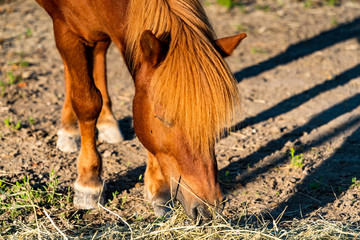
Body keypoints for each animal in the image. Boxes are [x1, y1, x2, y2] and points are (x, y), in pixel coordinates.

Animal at [35, 0, 245, 218]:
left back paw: (105, 121)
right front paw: (89, 181)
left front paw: (158, 190)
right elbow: (87, 102)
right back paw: (69, 128)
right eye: (163, 118)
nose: (209, 209)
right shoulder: (65, 28)